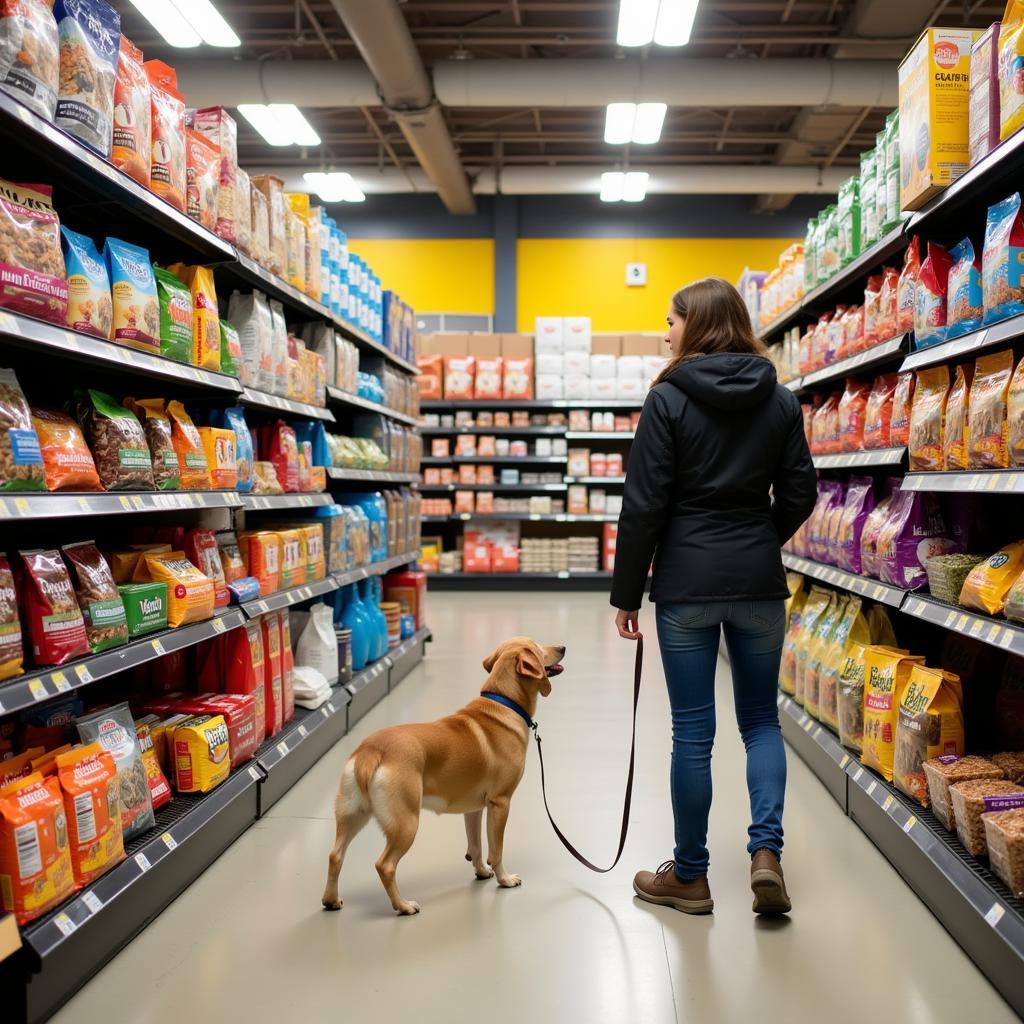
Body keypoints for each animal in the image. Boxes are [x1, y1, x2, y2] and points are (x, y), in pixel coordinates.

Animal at [319, 634, 565, 917]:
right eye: (537, 648)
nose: (563, 647)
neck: (504, 702)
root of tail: (371, 750)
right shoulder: (500, 803)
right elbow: (497, 849)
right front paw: (504, 879)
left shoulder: (474, 809)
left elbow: (476, 846)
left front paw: (481, 871)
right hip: (405, 824)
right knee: (385, 865)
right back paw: (403, 906)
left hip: (352, 815)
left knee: (335, 856)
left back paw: (331, 900)